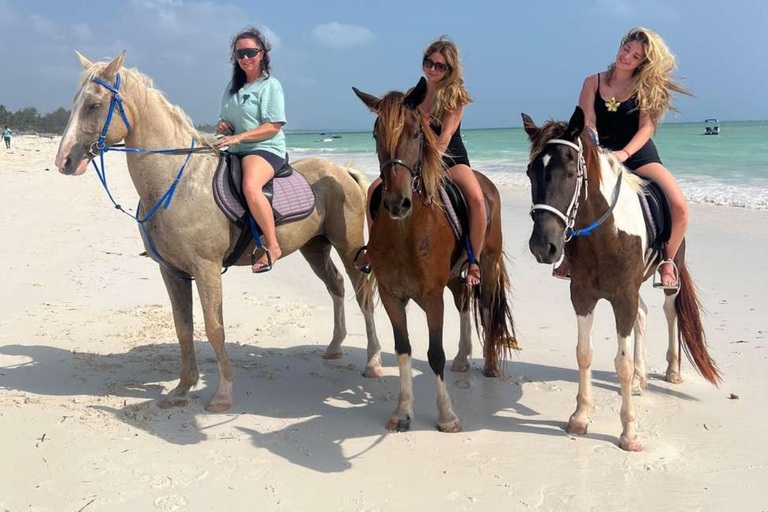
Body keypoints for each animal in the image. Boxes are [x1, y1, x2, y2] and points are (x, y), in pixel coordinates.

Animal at [54, 51, 383, 412]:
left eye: (94, 105)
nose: (64, 160)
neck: (178, 182)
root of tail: (343, 171)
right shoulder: (172, 272)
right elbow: (183, 328)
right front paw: (182, 389)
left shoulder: (206, 268)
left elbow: (214, 328)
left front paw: (222, 393)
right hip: (314, 247)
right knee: (336, 286)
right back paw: (335, 347)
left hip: (347, 246)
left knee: (362, 295)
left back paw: (373, 362)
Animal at [353, 78, 517, 433]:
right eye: (375, 134)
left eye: (417, 132)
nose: (397, 202)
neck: (407, 232)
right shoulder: (391, 295)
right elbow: (403, 349)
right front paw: (402, 412)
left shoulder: (431, 297)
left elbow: (434, 353)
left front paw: (447, 416)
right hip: (455, 277)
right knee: (465, 304)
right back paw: (463, 358)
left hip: (486, 263)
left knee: (485, 307)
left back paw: (489, 364)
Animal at [521, 106, 720, 451]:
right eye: (531, 173)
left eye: (570, 173)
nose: (543, 246)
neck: (604, 233)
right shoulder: (583, 295)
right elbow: (584, 353)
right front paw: (580, 417)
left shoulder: (622, 297)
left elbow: (622, 363)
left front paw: (629, 433)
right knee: (643, 314)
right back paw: (642, 378)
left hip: (669, 277)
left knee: (669, 313)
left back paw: (672, 371)